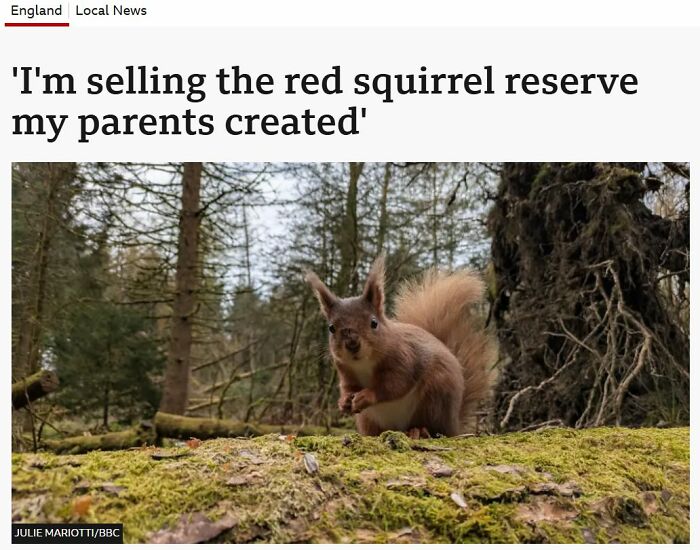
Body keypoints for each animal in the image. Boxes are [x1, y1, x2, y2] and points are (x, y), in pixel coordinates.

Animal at [305, 256, 496, 438]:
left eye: (374, 323)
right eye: (331, 328)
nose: (352, 344)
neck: (363, 363)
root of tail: (454, 425)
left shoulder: (404, 359)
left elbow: (394, 386)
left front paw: (366, 396)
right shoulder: (345, 370)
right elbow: (348, 387)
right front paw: (343, 401)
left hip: (435, 397)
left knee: (434, 428)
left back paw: (420, 431)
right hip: (369, 419)